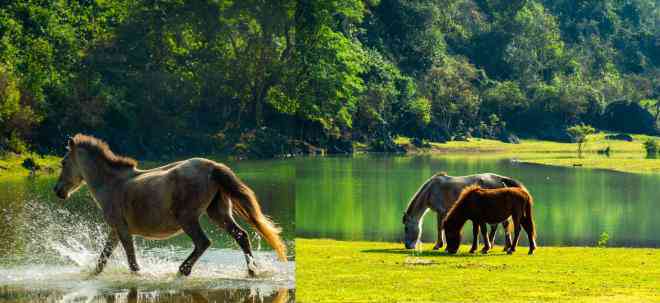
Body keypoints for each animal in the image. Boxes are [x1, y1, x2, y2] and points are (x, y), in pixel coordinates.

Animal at [53, 135, 286, 278]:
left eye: (63, 162)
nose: (58, 190)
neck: (111, 183)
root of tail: (213, 166)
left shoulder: (122, 230)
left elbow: (131, 260)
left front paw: (139, 275)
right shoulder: (115, 231)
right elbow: (102, 259)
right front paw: (92, 274)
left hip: (188, 219)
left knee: (204, 242)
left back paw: (182, 270)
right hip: (217, 213)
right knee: (241, 236)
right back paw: (252, 272)